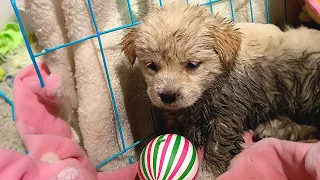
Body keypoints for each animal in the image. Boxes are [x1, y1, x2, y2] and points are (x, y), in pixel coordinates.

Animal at [120, 1, 320, 176]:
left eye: (192, 65)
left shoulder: (229, 112)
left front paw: (208, 171)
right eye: (151, 66)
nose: (167, 96)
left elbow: (218, 145)